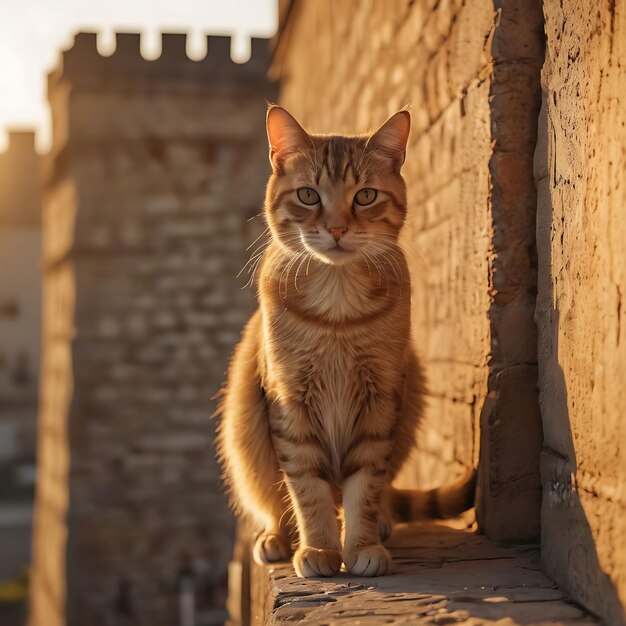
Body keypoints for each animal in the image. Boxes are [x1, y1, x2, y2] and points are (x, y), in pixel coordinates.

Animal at [214, 103, 472, 576]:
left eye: (365, 196)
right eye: (308, 195)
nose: (336, 228)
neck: (337, 308)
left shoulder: (380, 398)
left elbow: (366, 485)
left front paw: (362, 545)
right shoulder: (290, 401)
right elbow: (308, 488)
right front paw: (319, 547)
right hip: (243, 426)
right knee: (273, 500)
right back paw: (277, 537)